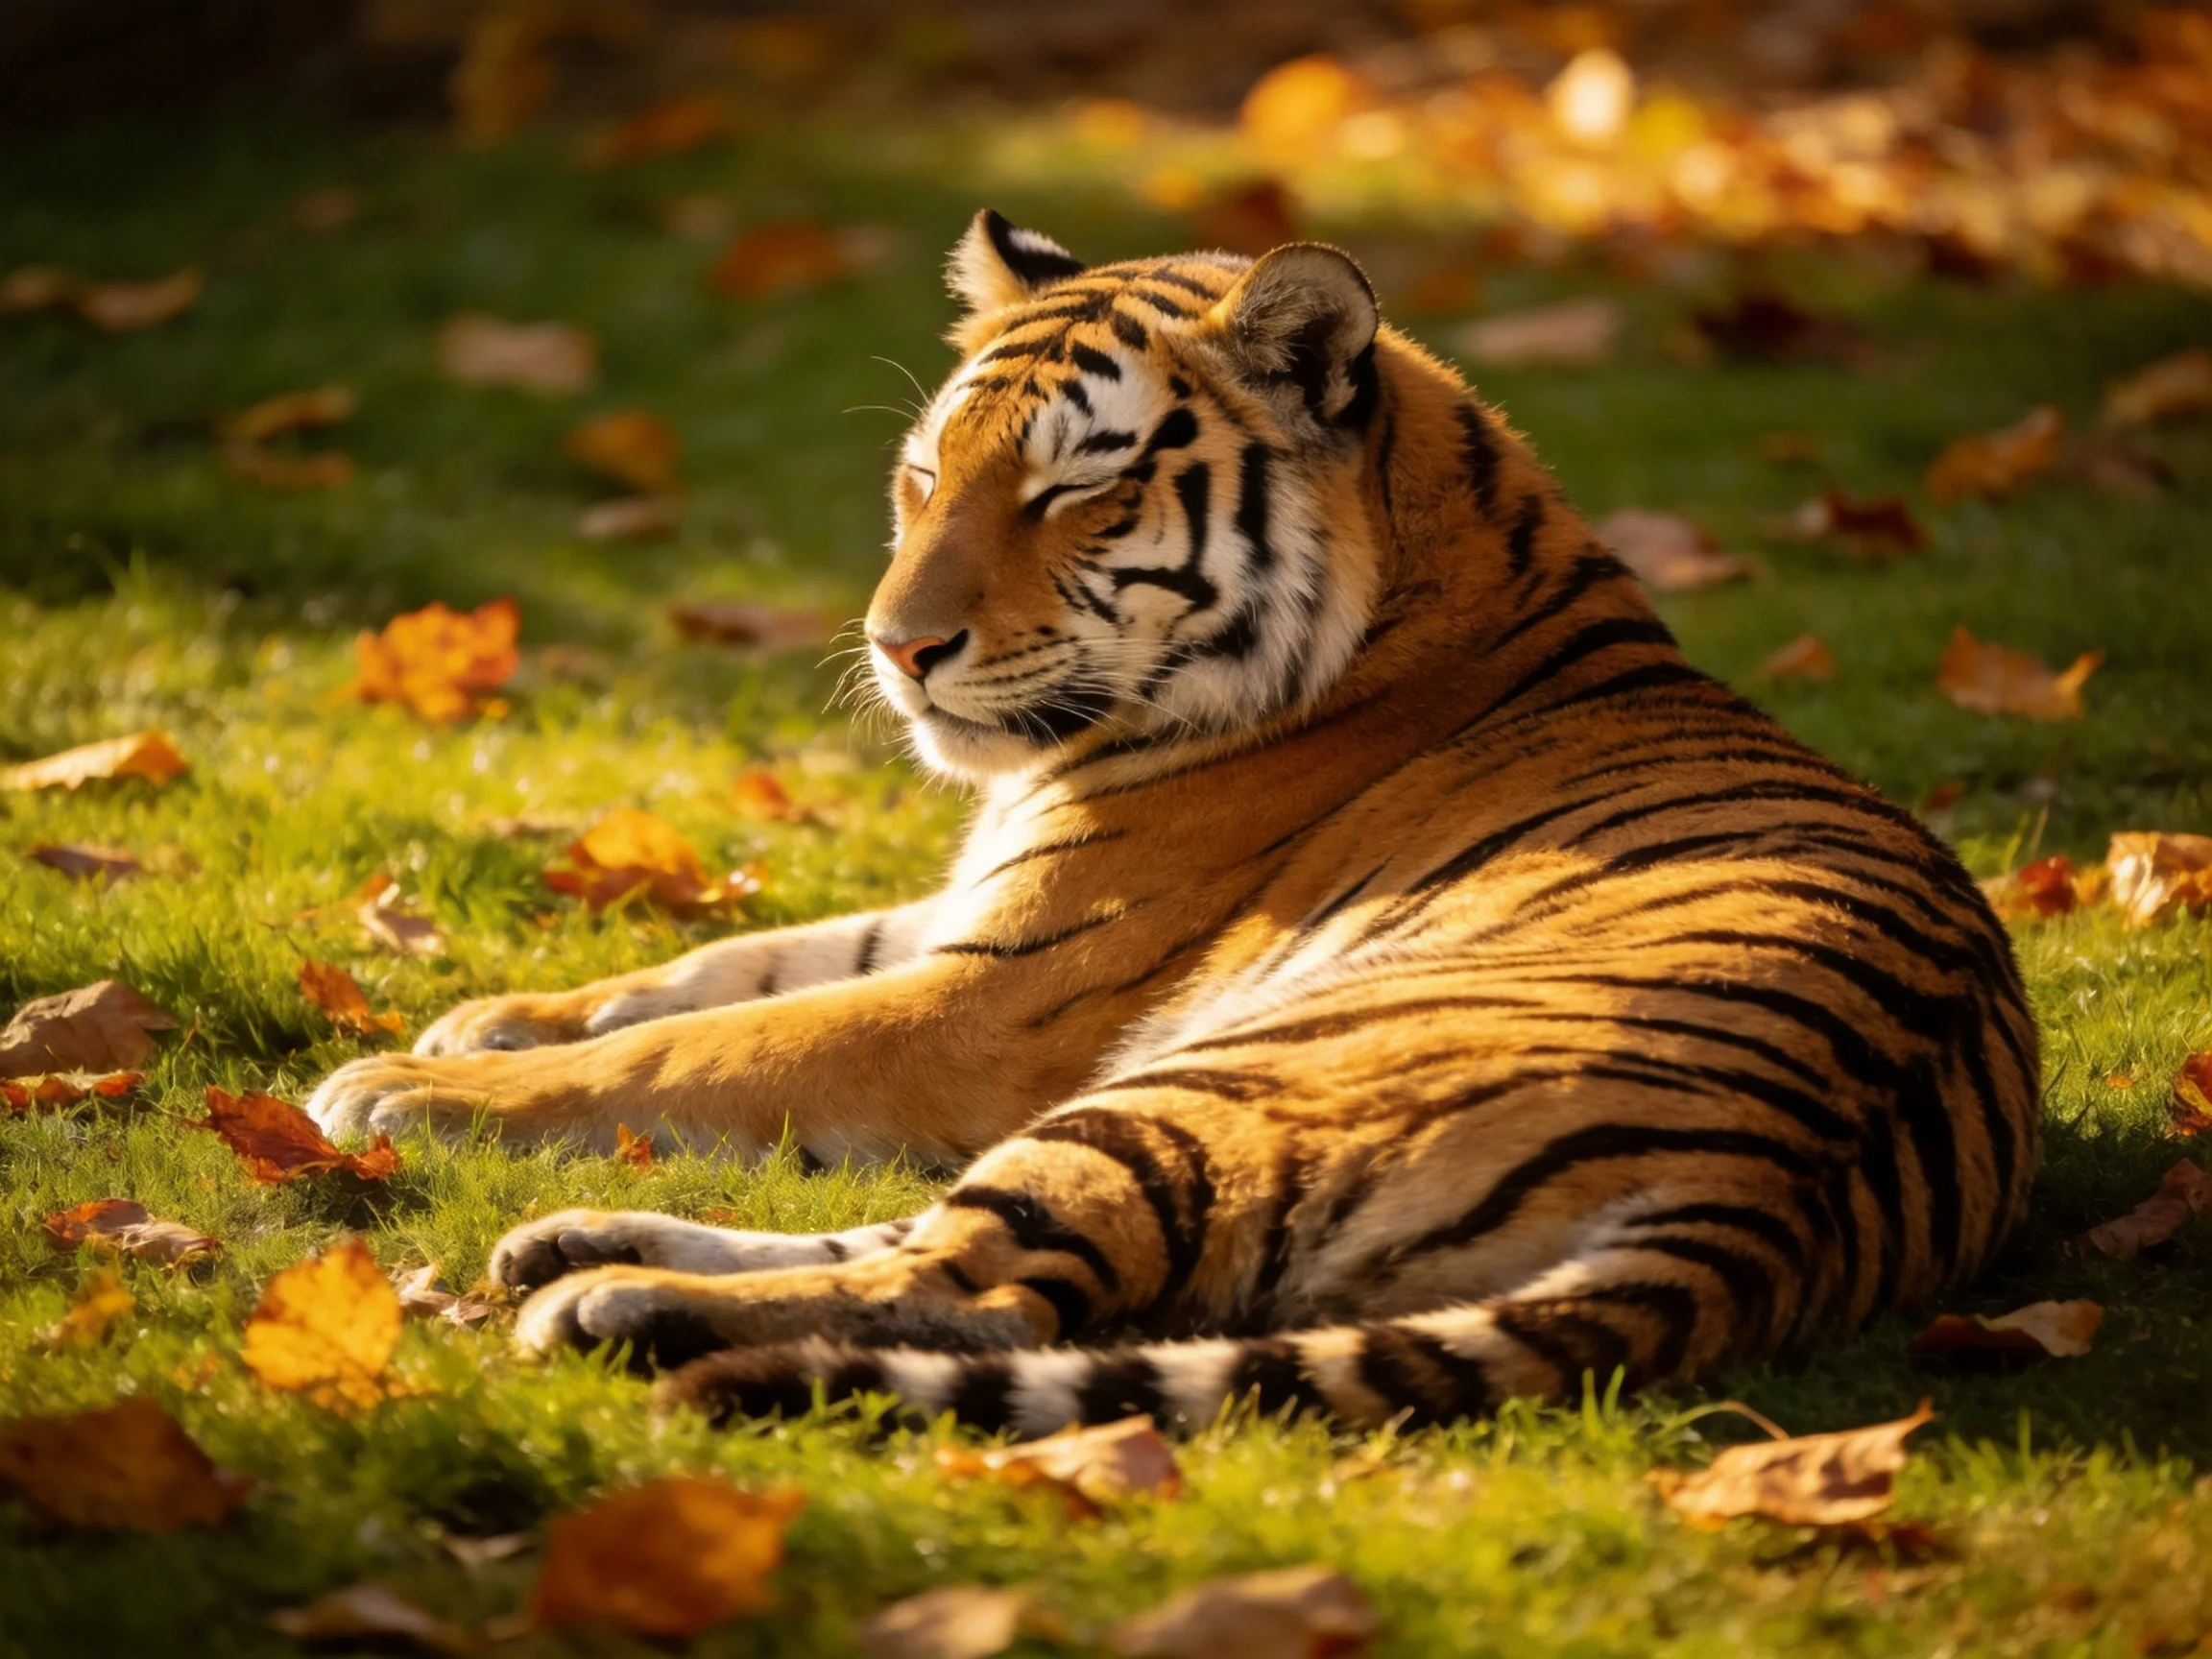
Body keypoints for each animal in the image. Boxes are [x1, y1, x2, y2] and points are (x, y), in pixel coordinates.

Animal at [305, 209, 2040, 1436]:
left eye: (1073, 490)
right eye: (925, 474)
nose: (895, 645)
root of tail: (1767, 1199)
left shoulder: (993, 1000)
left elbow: (707, 1043)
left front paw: (401, 1081)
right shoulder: (976, 912)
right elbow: (732, 961)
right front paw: (485, 1016)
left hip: (1208, 1078)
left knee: (984, 1293)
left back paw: (606, 1303)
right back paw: (574, 1247)